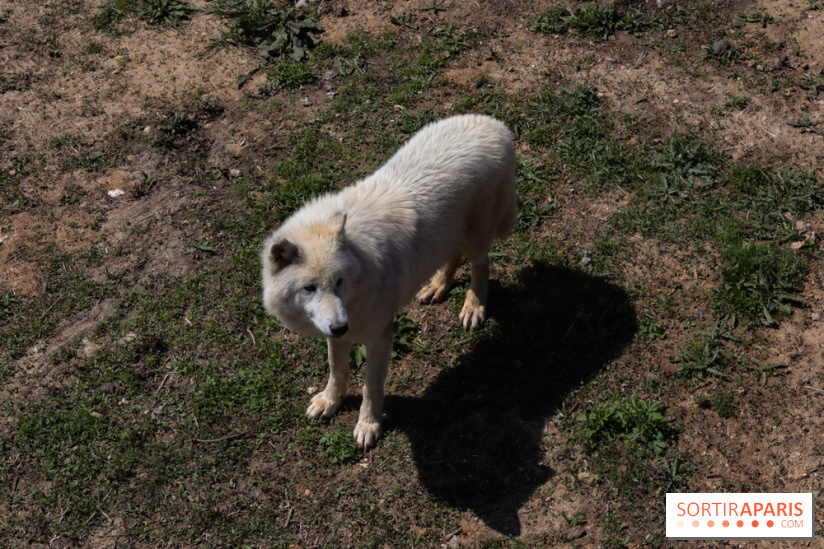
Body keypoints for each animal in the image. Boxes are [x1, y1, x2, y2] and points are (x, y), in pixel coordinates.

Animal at [261, 114, 517, 449]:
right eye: (309, 288)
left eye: (339, 281)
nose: (340, 326)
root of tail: (495, 125)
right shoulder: (336, 332)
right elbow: (337, 369)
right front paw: (330, 401)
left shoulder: (380, 336)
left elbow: (370, 386)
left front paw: (368, 425)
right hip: (447, 236)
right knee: (453, 257)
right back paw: (437, 286)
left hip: (476, 238)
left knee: (480, 264)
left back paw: (474, 307)